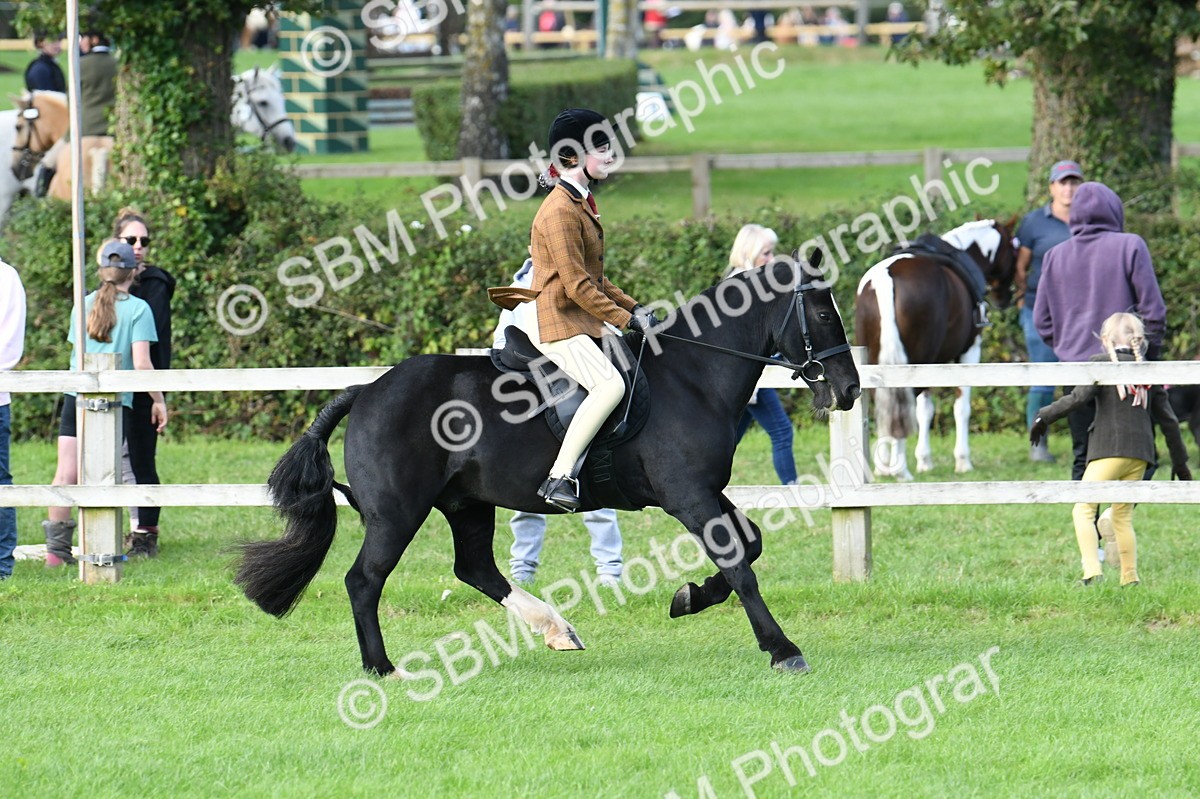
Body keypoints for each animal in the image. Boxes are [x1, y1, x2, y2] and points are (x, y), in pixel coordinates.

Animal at [234, 257, 861, 676]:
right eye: (823, 310)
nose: (850, 389)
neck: (692, 376)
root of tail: (367, 391)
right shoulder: (689, 497)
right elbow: (739, 563)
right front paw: (782, 649)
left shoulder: (704, 492)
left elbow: (749, 543)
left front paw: (688, 598)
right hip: (397, 514)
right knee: (364, 580)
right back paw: (382, 667)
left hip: (466, 504)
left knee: (475, 568)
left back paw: (557, 630)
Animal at [854, 218, 1019, 481]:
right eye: (1013, 251)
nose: (1004, 298)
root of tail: (886, 280)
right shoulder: (969, 352)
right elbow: (961, 408)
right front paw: (962, 460)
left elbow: (925, 410)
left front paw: (924, 460)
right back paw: (900, 470)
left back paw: (883, 466)